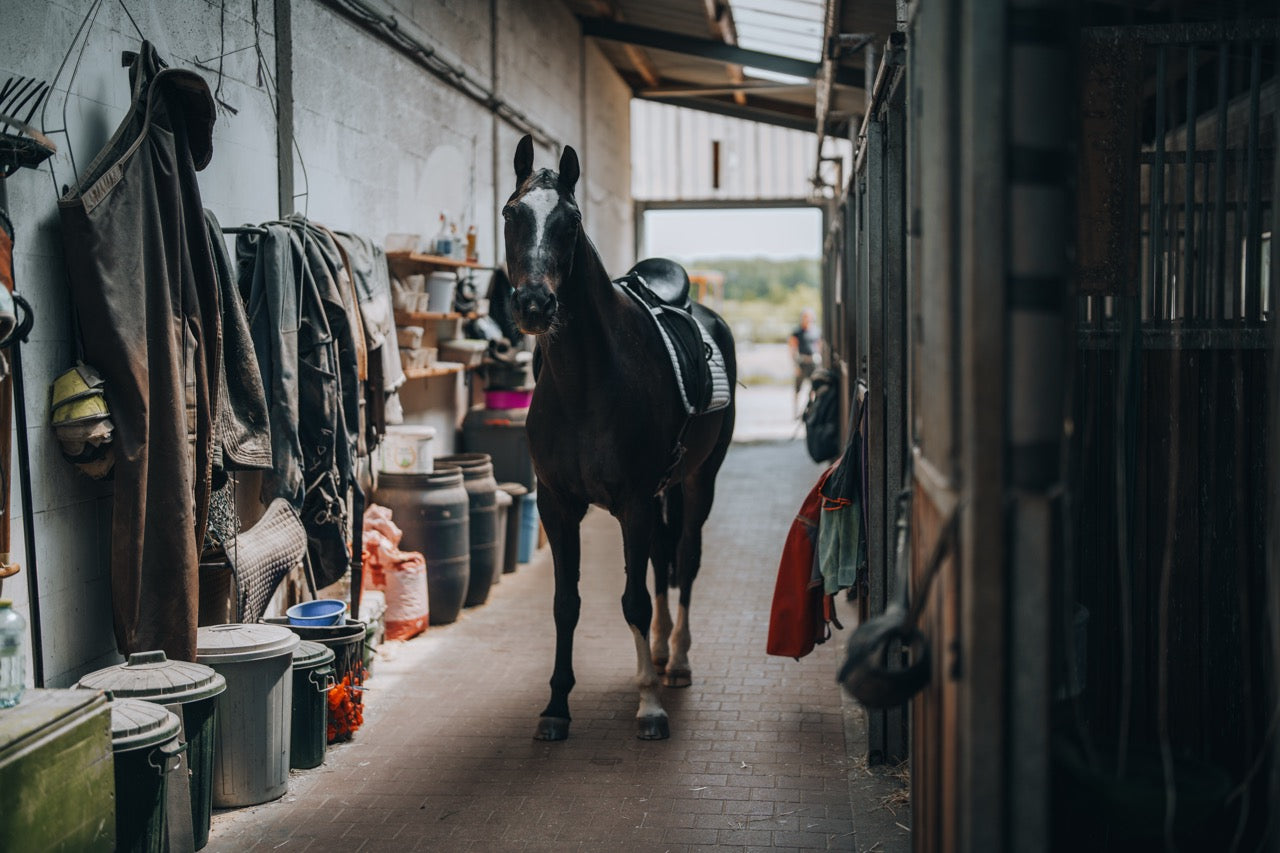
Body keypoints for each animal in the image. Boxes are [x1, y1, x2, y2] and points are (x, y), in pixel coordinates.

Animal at [503, 134, 737, 741]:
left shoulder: (632, 501)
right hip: (661, 492)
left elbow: (633, 599)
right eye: (512, 214)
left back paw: (676, 662)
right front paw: (556, 705)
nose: (534, 304)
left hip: (699, 481)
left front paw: (649, 705)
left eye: (571, 220)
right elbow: (567, 602)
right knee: (660, 560)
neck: (586, 382)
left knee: (684, 558)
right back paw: (656, 651)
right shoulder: (559, 504)